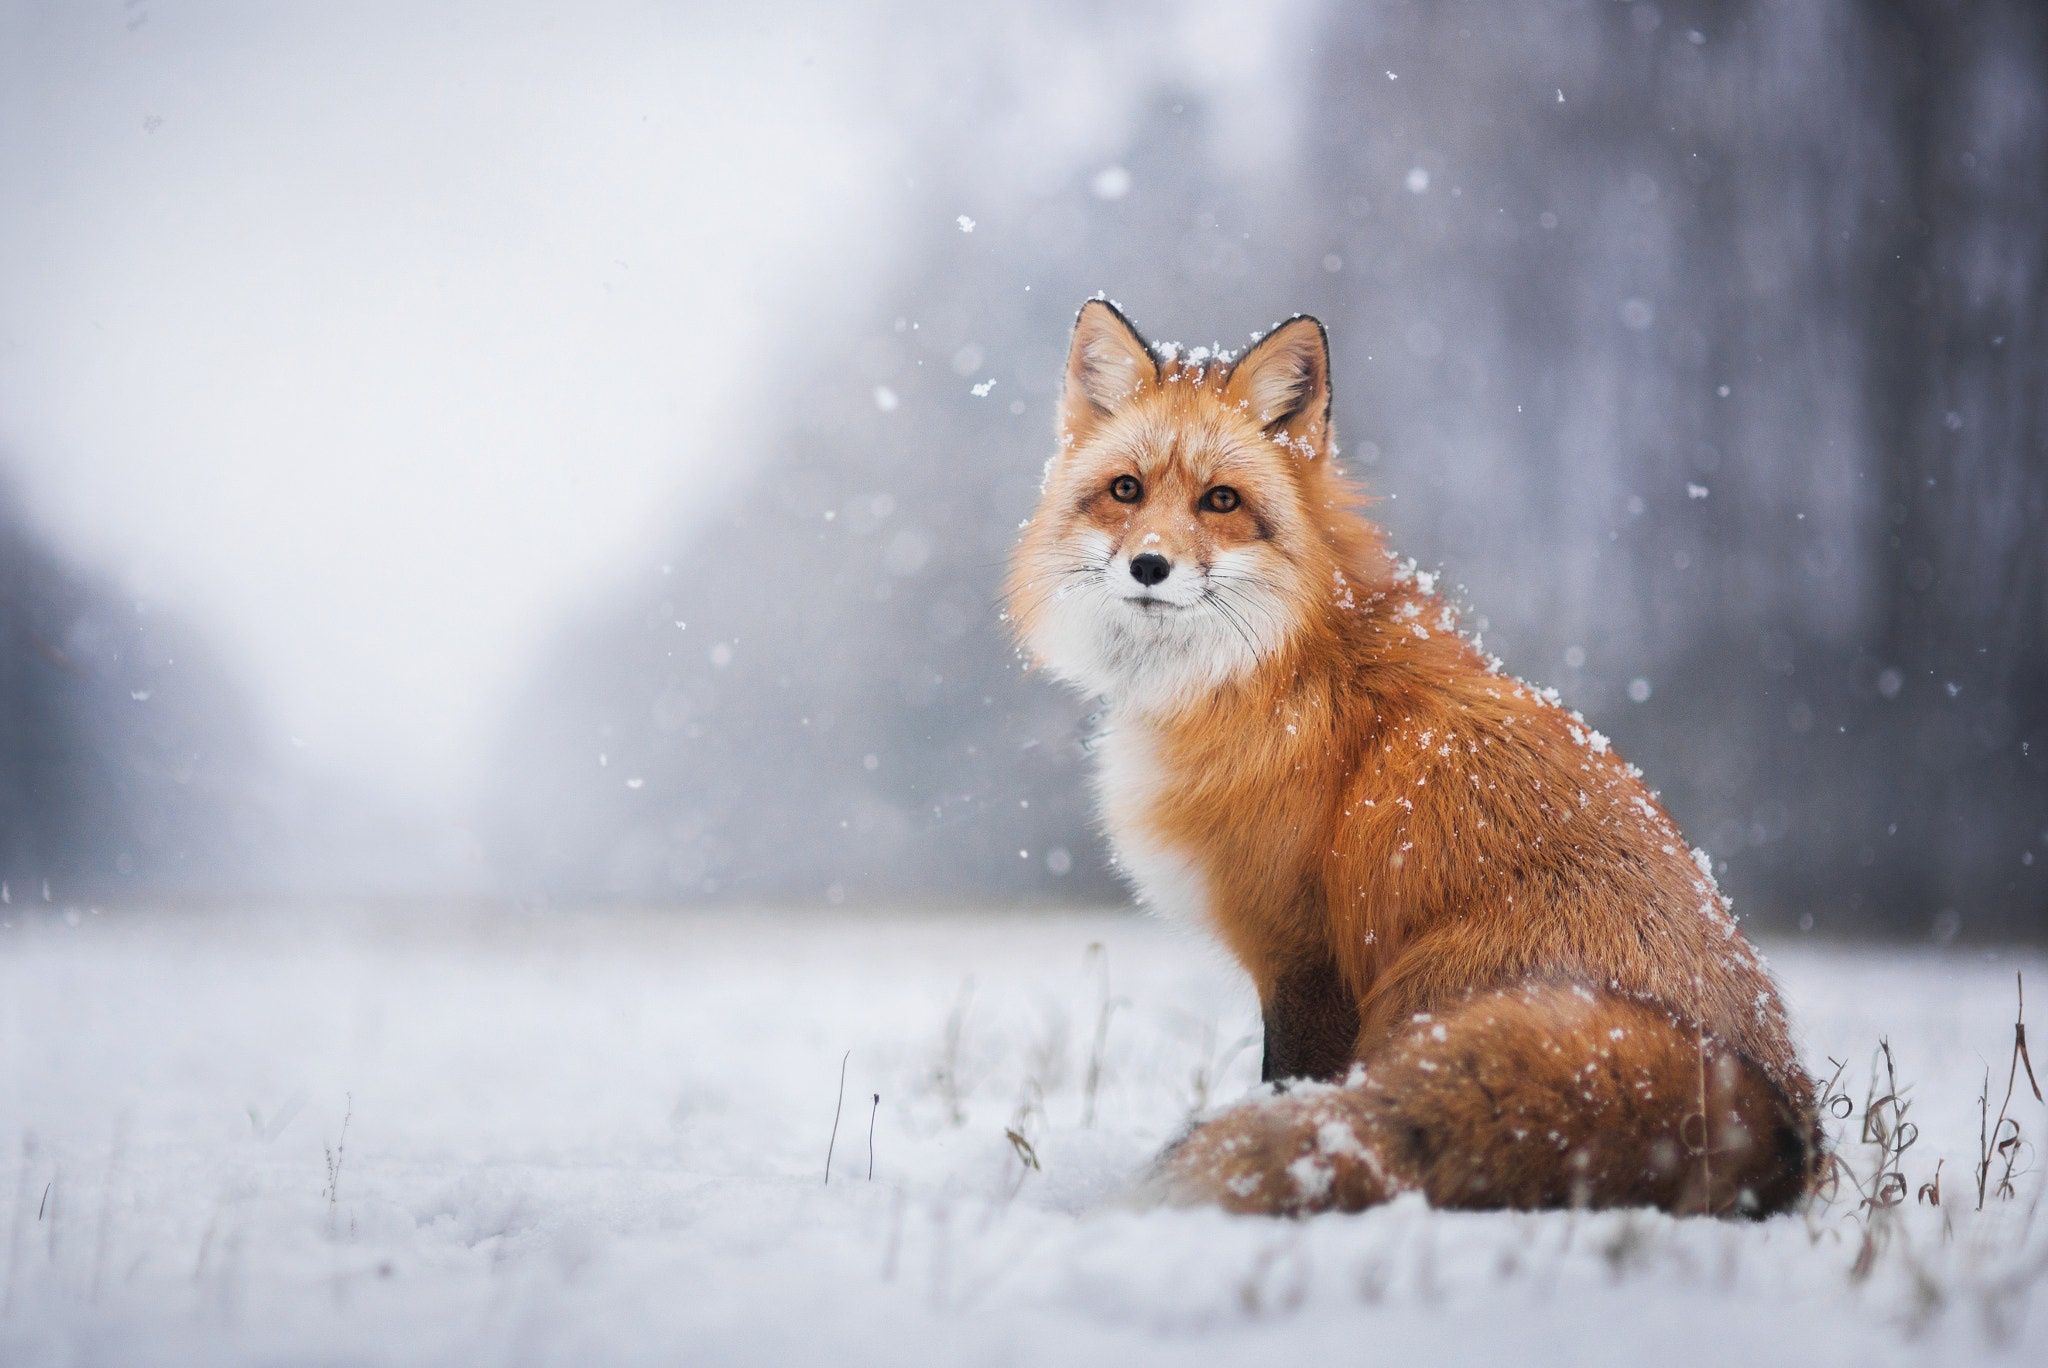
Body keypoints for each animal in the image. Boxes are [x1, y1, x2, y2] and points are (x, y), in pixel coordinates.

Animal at [999, 301, 1818, 1220]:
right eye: (1126, 490)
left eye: (1221, 501)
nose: (1149, 565)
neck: (1281, 668)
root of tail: (1776, 1122)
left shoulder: (1307, 956)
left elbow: (1289, 1086)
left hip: (1418, 994)